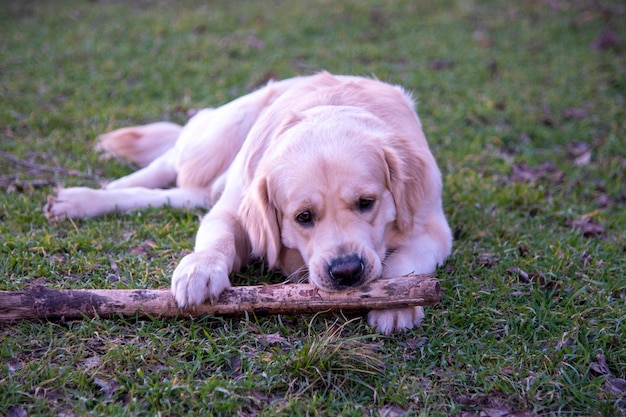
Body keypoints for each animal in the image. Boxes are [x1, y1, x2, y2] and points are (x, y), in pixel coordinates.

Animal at [46, 70, 450, 332]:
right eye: (304, 217)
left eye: (367, 202)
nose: (347, 271)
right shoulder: (233, 209)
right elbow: (218, 238)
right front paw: (200, 270)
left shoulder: (433, 229)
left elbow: (402, 263)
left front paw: (398, 306)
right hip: (217, 136)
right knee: (169, 162)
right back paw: (88, 195)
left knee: (180, 193)